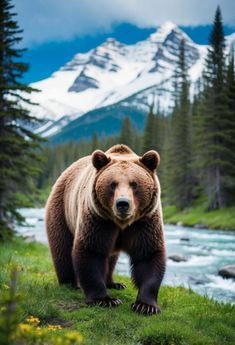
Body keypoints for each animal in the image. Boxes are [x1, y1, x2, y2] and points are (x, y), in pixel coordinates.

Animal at [45, 142, 165, 314]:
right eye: (112, 184)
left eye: (134, 184)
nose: (123, 203)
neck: (121, 223)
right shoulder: (98, 219)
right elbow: (91, 251)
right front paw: (105, 300)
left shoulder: (144, 222)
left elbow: (148, 254)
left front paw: (145, 305)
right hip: (62, 209)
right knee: (62, 248)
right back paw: (70, 283)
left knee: (111, 258)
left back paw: (114, 283)